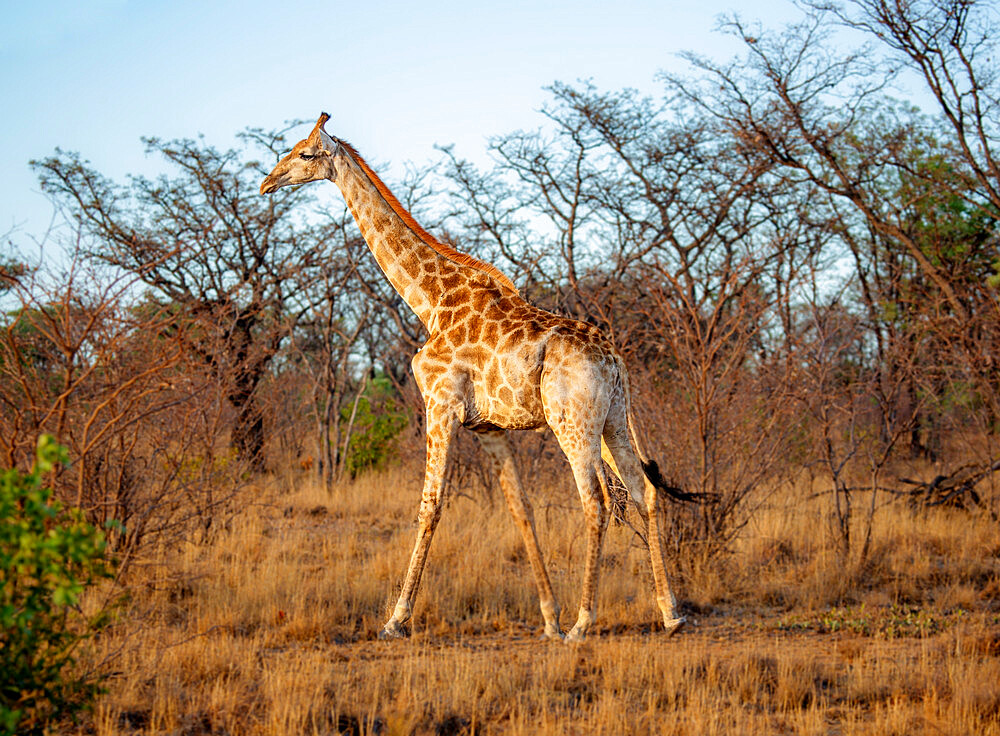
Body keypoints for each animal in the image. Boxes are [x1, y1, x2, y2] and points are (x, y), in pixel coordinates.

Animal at [260, 112, 688, 640]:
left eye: (304, 153)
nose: (267, 182)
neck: (429, 302)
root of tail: (615, 359)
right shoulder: (488, 427)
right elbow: (520, 509)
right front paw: (548, 618)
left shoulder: (440, 404)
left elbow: (430, 505)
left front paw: (396, 619)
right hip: (612, 418)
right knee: (643, 489)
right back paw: (669, 612)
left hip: (572, 421)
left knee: (596, 500)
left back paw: (584, 623)